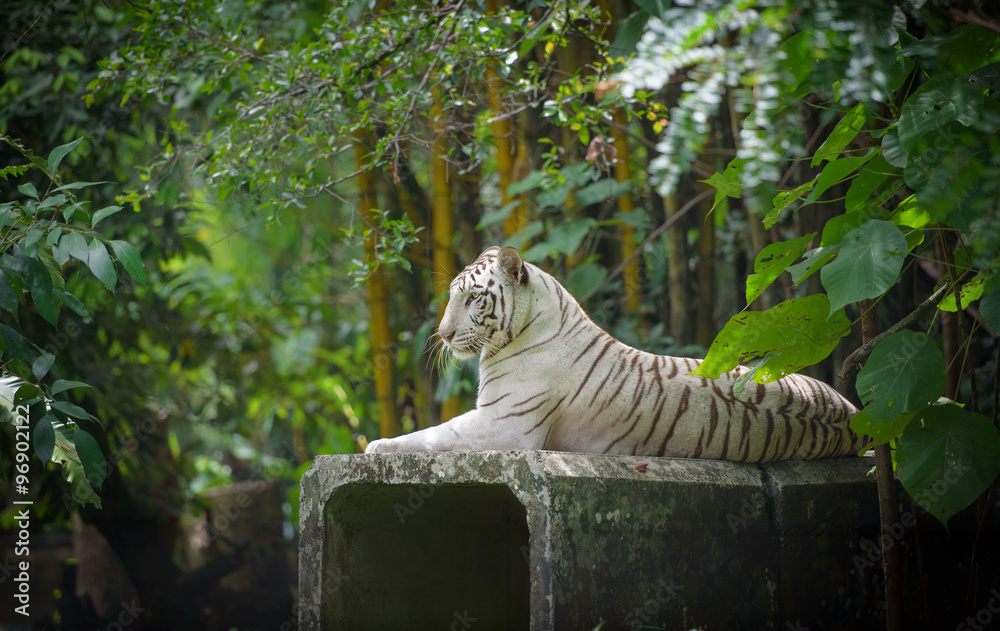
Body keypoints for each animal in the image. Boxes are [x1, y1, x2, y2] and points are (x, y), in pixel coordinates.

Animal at [365, 246, 868, 461]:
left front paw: (376, 444)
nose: (443, 334)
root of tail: (853, 417)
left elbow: (432, 435)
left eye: (472, 298)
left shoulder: (503, 425)